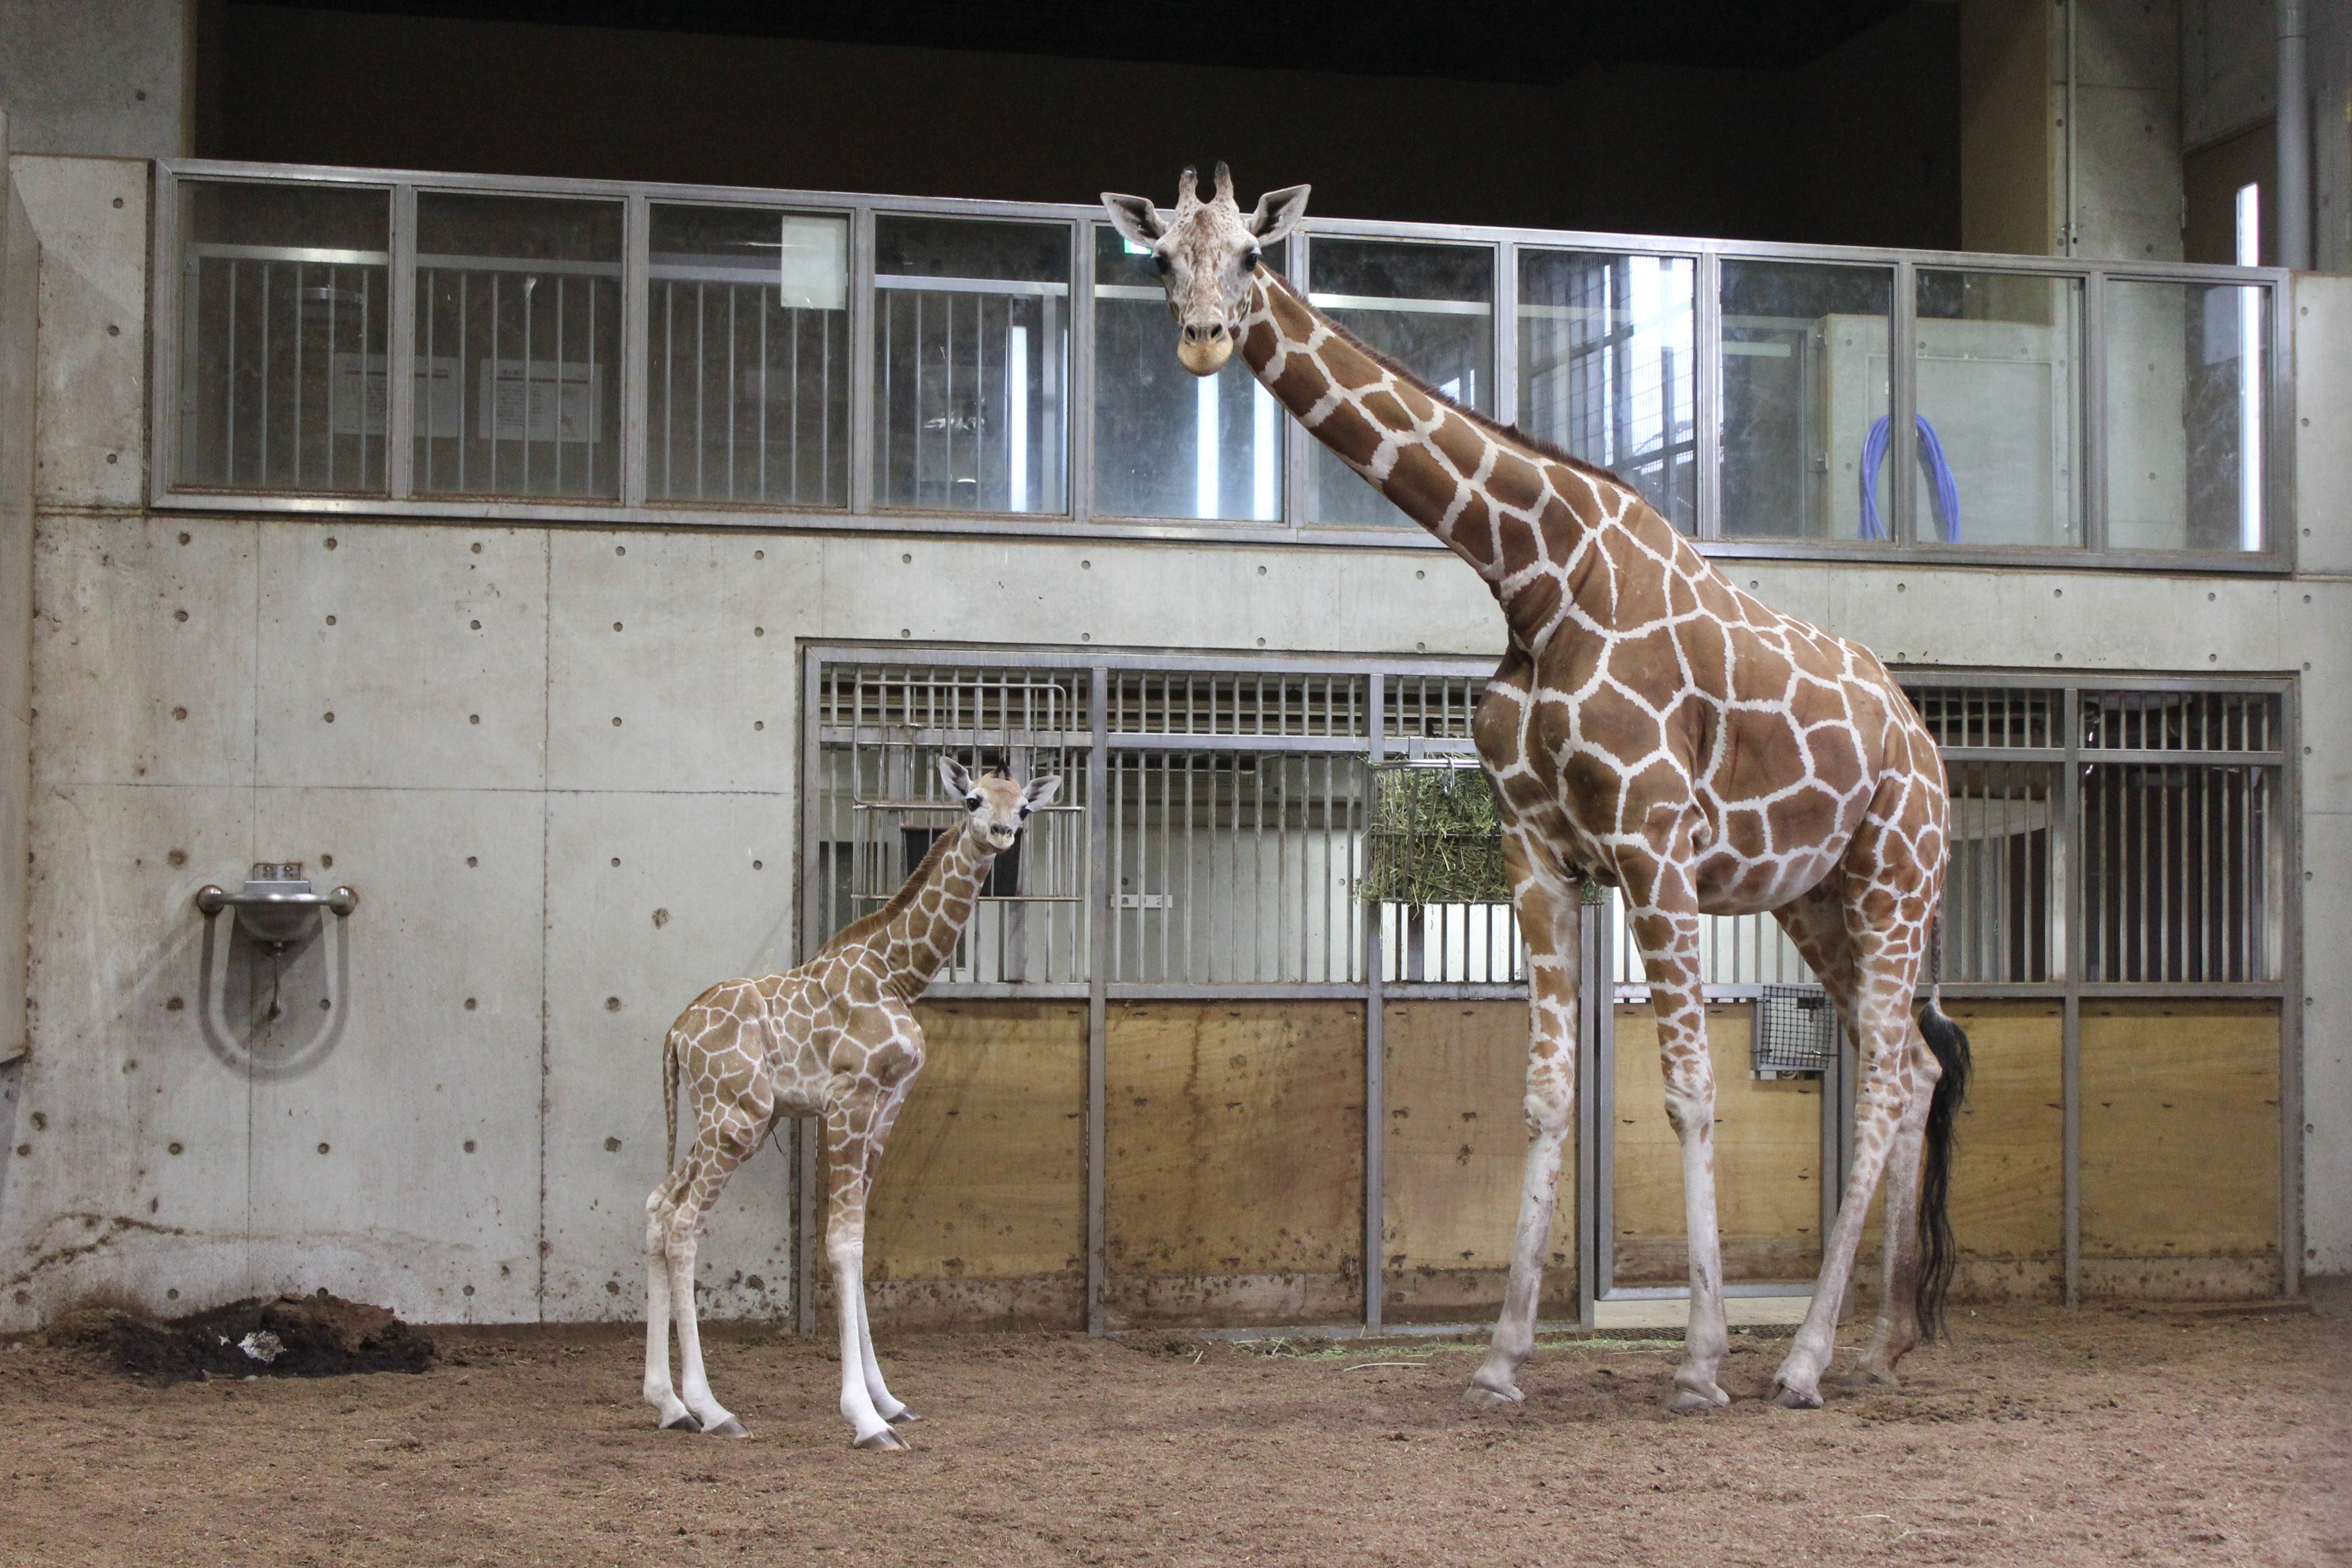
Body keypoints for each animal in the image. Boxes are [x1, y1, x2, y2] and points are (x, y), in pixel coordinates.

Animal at [635, 761, 1058, 1448]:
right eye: (972, 799)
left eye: (1022, 808)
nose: (999, 834)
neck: (897, 975)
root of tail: (676, 1032)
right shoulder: (847, 1102)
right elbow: (842, 1245)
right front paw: (863, 1417)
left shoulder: (885, 1111)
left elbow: (860, 1240)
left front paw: (889, 1400)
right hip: (737, 1121)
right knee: (683, 1226)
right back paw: (713, 1408)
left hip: (718, 1119)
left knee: (659, 1207)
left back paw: (669, 1404)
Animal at [1105, 169, 1966, 1410]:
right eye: (1165, 260)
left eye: (1254, 257)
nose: (1204, 340)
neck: (1532, 575)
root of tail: (1928, 746)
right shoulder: (1537, 849)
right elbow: (1547, 1095)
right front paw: (1503, 1356)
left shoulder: (1653, 844)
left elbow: (1689, 1090)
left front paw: (1699, 1359)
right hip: (1815, 896)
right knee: (1909, 1059)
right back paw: (1878, 1340)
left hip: (1895, 874)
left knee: (1891, 1074)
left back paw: (1802, 1358)